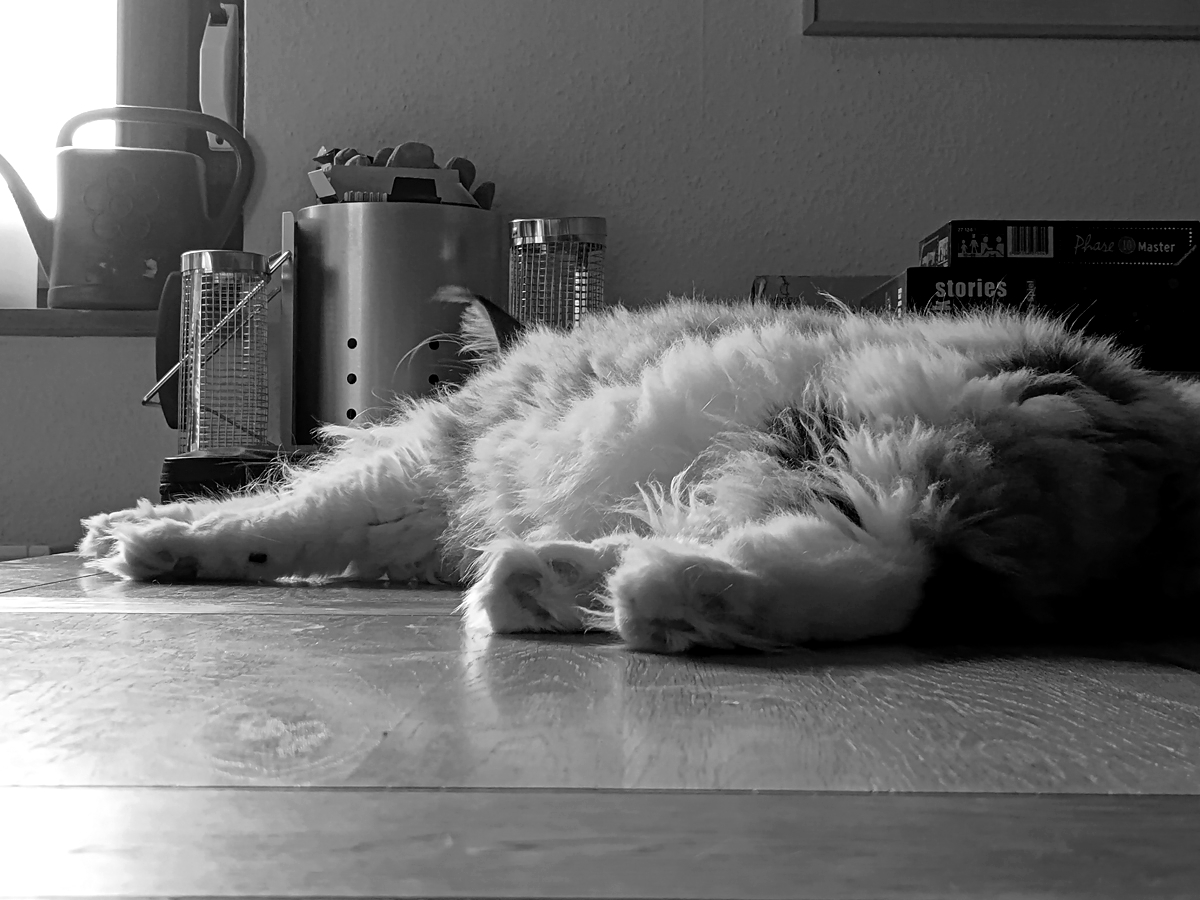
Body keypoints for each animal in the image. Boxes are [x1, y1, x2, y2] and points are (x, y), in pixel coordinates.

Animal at [79, 291, 1200, 653]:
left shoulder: (432, 460)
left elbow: (279, 511)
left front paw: (146, 539)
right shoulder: (424, 505)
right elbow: (289, 528)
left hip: (858, 426)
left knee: (885, 554)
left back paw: (636, 592)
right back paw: (568, 584)